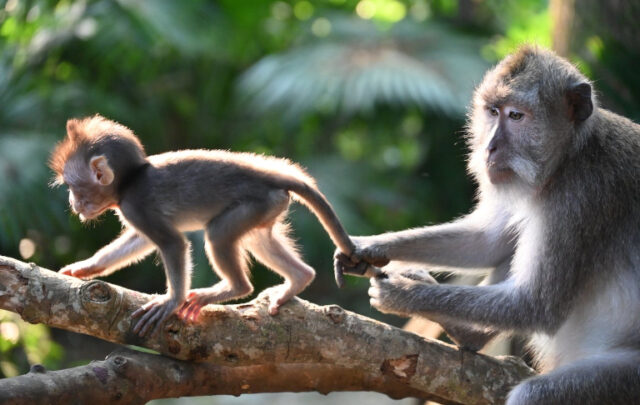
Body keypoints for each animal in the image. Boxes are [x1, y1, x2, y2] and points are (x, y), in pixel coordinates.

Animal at [49, 115, 363, 337]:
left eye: (73, 187)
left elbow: (172, 243)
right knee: (258, 239)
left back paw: (233, 287)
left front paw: (171, 301)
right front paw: (86, 267)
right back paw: (298, 278)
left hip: (255, 203)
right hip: (269, 204)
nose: (72, 203)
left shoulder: (136, 206)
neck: (129, 181)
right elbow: (140, 241)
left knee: (218, 235)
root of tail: (267, 174)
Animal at [335, 46, 640, 404]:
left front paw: (404, 294)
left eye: (516, 116)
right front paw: (369, 247)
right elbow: (487, 241)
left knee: (535, 393)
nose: (489, 147)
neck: (569, 157)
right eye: (493, 112)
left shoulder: (583, 198)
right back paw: (467, 334)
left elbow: (535, 305)